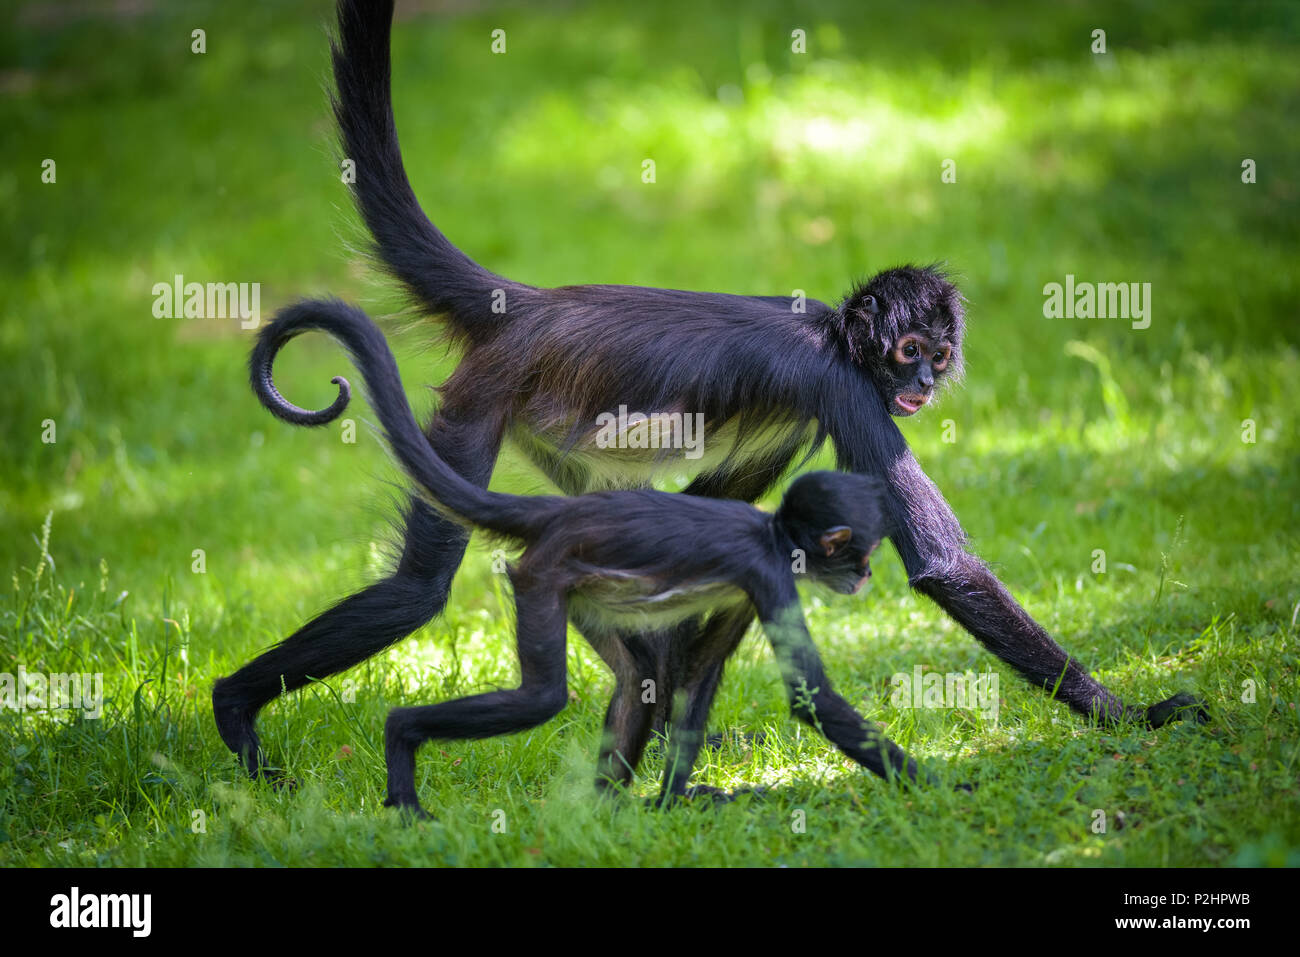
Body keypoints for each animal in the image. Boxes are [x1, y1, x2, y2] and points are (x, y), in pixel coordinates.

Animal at [256, 299, 925, 816]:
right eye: (861, 551)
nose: (867, 576)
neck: (774, 533)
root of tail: (557, 517)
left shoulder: (752, 591)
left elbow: (699, 676)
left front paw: (671, 799)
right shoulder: (769, 576)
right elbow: (812, 699)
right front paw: (941, 786)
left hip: (579, 588)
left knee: (638, 679)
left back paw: (610, 804)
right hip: (541, 577)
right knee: (542, 696)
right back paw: (404, 741)